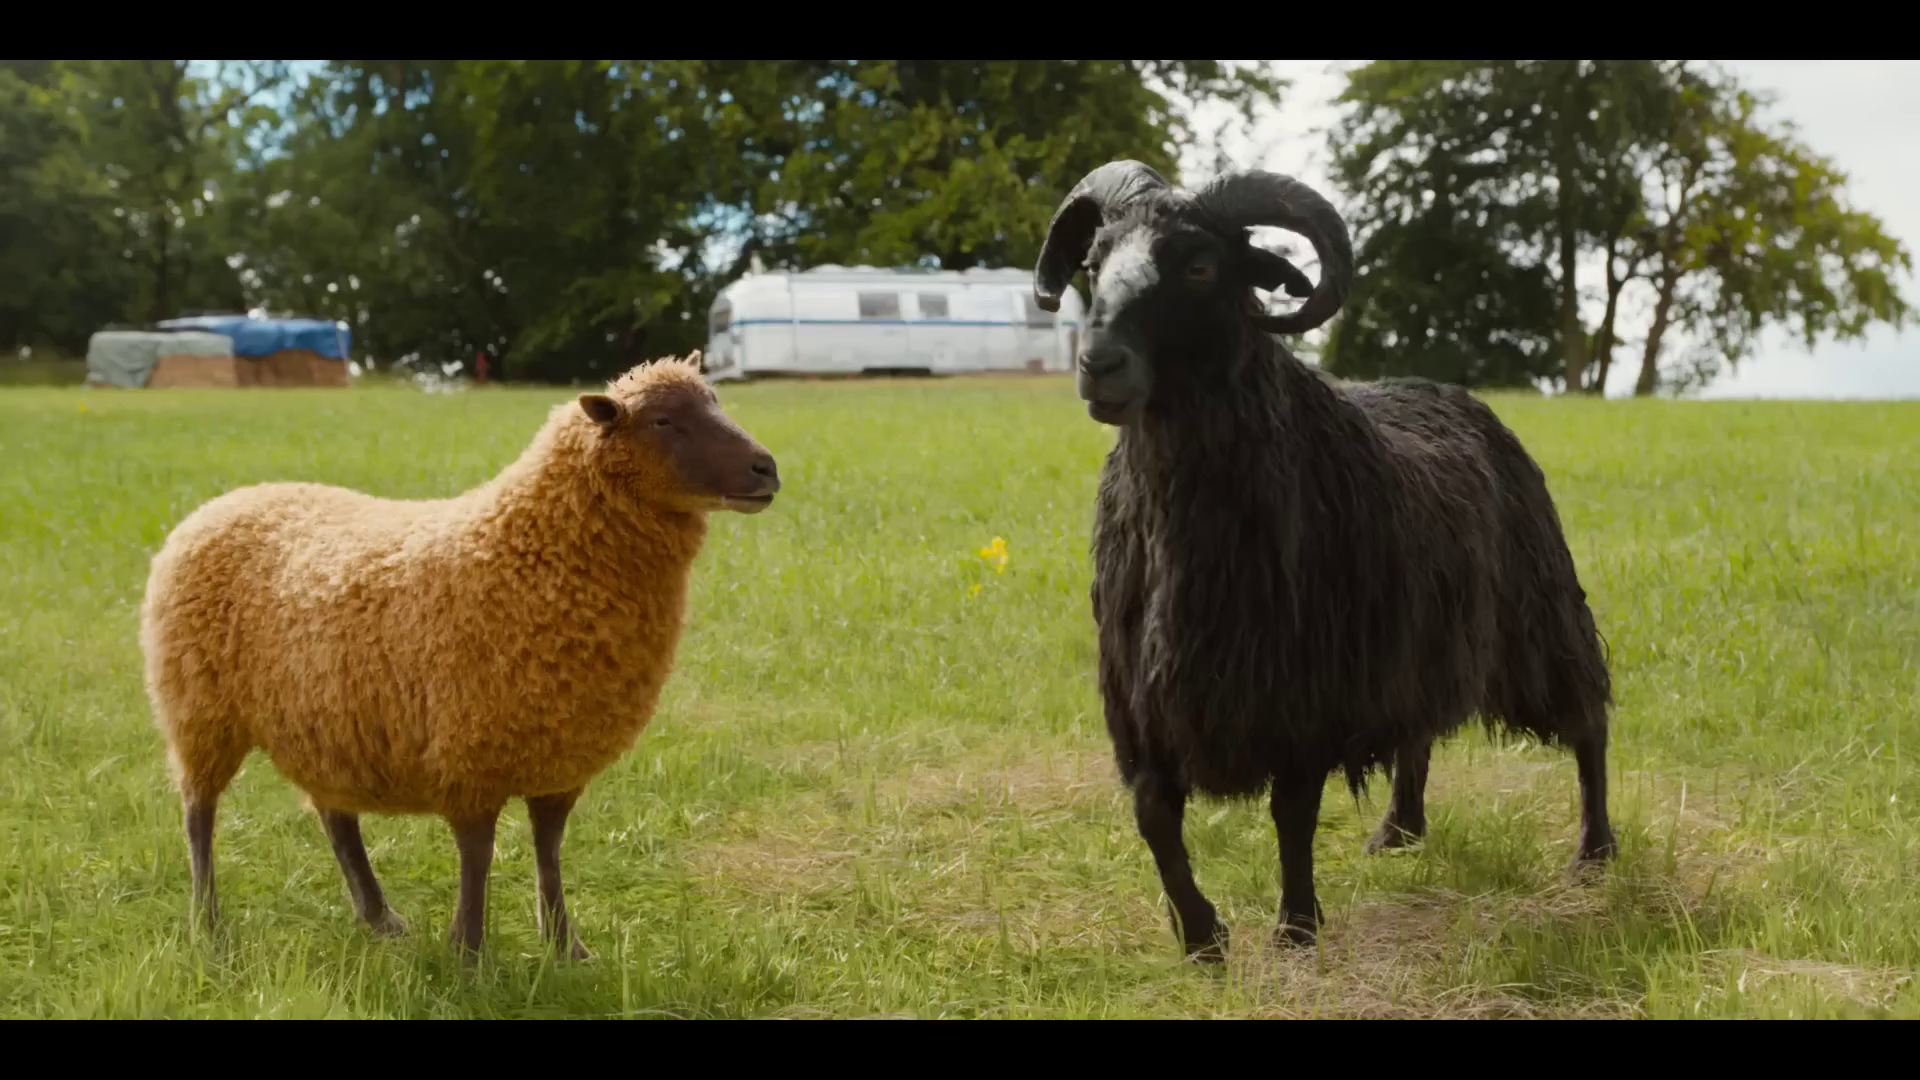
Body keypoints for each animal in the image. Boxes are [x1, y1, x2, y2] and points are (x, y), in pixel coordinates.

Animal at [140, 353, 780, 960]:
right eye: (663, 420)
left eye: (716, 401)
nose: (767, 468)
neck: (533, 550)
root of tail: (223, 503)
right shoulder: (472, 747)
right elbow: (478, 852)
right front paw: (470, 953)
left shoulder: (559, 753)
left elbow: (549, 848)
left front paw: (565, 946)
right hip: (198, 707)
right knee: (199, 812)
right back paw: (208, 922)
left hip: (325, 720)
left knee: (335, 816)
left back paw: (378, 917)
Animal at [1031, 162, 1617, 958]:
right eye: (1092, 264)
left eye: (1200, 264)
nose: (1099, 365)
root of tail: (1449, 391)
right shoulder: (1143, 700)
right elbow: (1153, 817)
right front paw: (1203, 939)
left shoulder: (1304, 693)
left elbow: (1292, 814)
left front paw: (1296, 929)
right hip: (1419, 637)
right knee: (1416, 735)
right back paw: (1399, 833)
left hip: (1539, 613)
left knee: (1588, 722)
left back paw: (1594, 851)